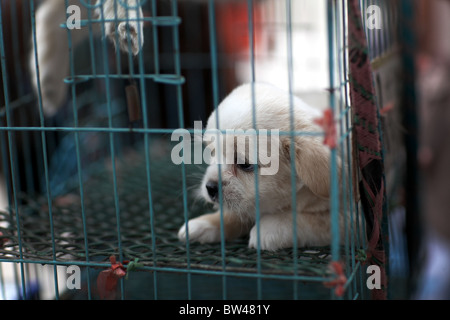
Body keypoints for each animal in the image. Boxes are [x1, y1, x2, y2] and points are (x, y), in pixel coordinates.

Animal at [177, 83, 344, 252]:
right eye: (212, 152)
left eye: (245, 164)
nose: (210, 187)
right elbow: (233, 214)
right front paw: (204, 223)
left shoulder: (344, 218)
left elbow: (311, 221)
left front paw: (268, 228)